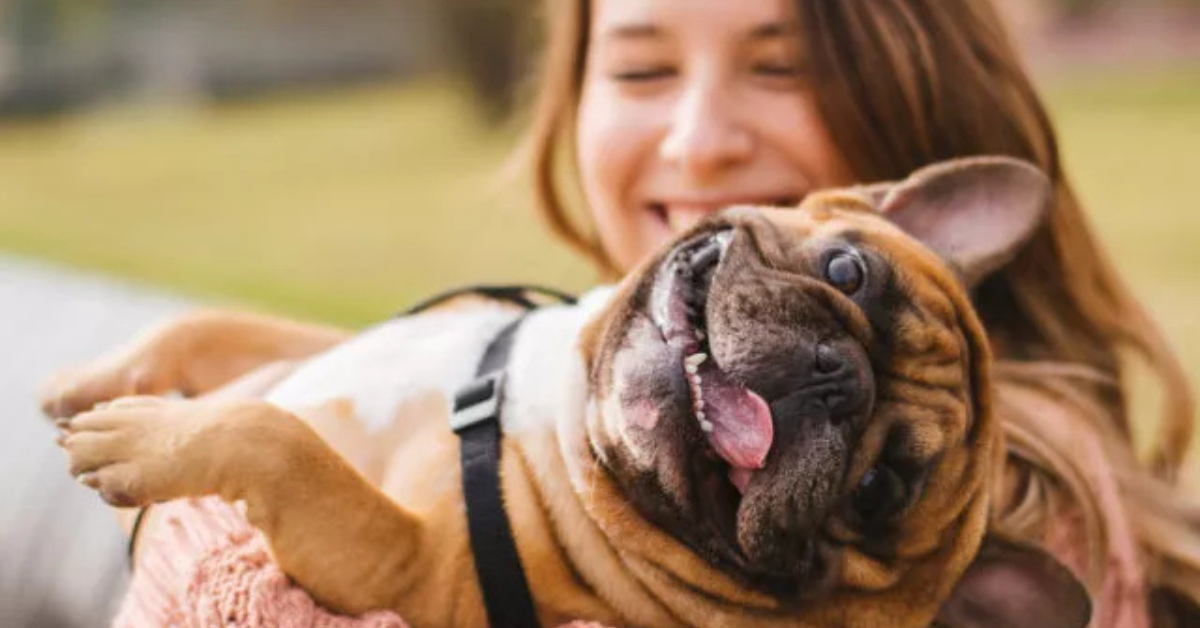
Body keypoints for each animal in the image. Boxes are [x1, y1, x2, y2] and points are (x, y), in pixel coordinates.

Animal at [49, 157, 1099, 628]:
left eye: (878, 492)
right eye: (847, 271)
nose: (832, 379)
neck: (550, 411)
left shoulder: (406, 571)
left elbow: (282, 442)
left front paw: (141, 439)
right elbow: (216, 329)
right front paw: (90, 383)